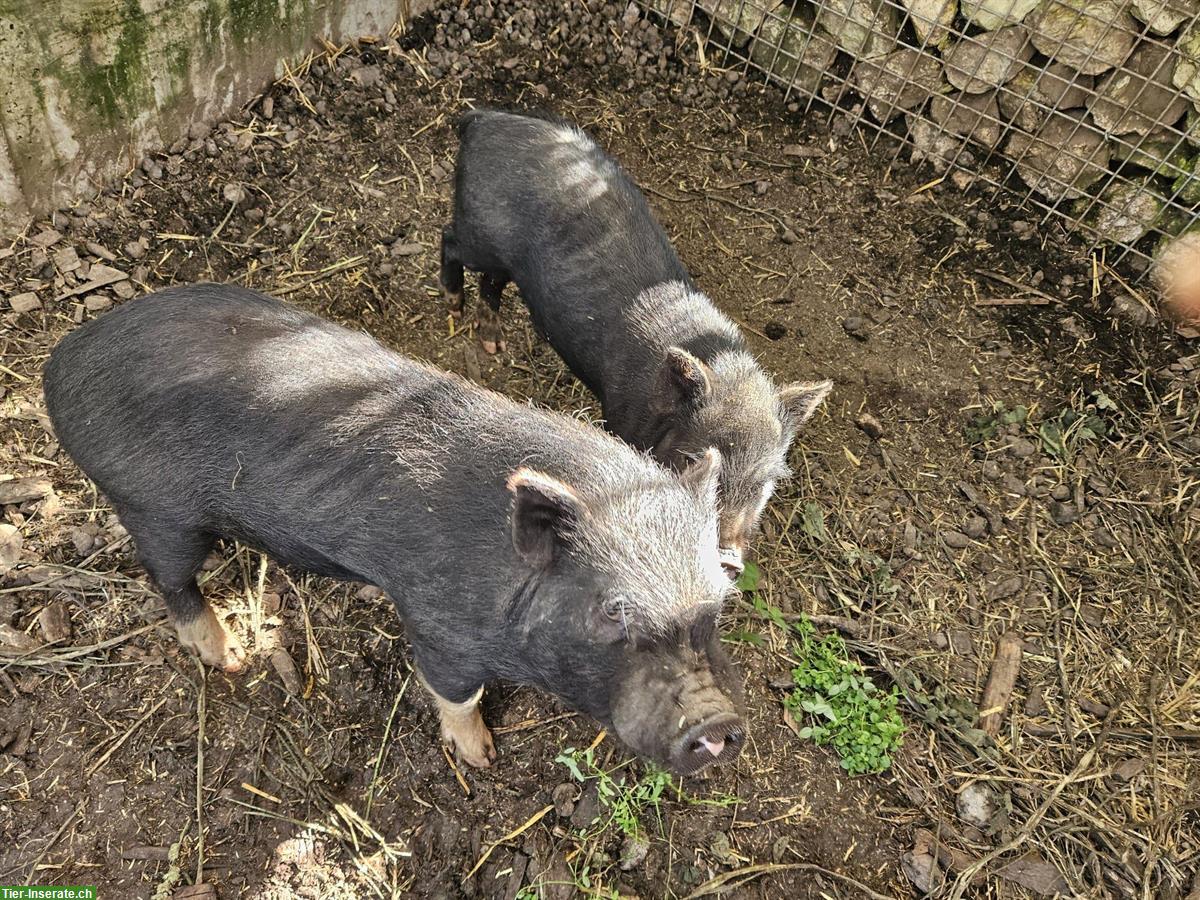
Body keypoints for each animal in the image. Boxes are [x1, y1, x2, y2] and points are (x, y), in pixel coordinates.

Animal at [44, 286, 739, 777]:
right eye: (611, 611)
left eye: (716, 605)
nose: (717, 722)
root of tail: (60, 365)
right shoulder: (440, 625)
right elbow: (455, 694)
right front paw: (481, 758)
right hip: (153, 505)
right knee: (170, 577)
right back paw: (228, 654)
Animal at [444, 109, 835, 573]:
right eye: (696, 458)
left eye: (769, 480)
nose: (727, 558)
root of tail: (483, 118)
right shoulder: (622, 420)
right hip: (477, 232)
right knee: (450, 243)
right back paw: (452, 305)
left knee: (493, 281)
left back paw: (492, 344)